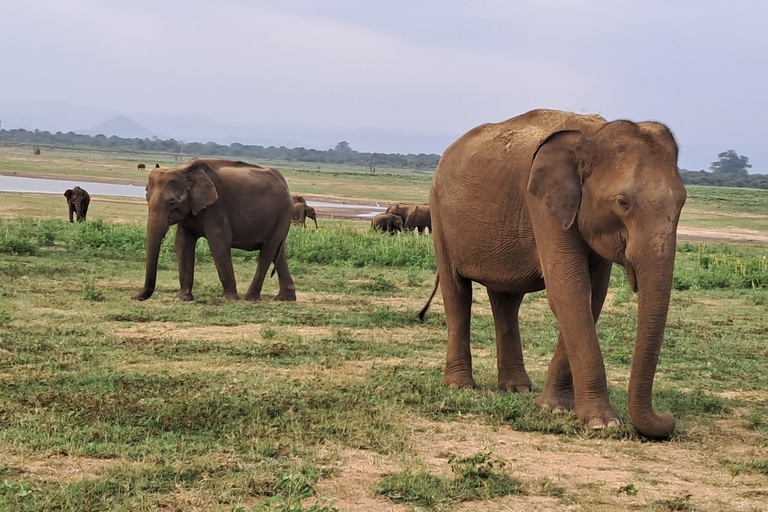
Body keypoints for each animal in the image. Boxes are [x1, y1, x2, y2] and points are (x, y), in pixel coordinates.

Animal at [134, 158, 296, 302]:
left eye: (173, 202)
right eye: (146, 198)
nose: (134, 297)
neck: (185, 170)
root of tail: (284, 181)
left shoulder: (216, 205)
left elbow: (219, 239)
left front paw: (228, 299)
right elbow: (182, 242)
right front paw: (182, 298)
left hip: (283, 214)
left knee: (268, 250)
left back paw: (250, 298)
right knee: (278, 252)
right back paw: (285, 298)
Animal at [424, 109, 688, 440]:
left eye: (683, 202)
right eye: (622, 202)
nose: (669, 419)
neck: (592, 135)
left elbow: (592, 297)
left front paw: (555, 408)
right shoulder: (543, 205)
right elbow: (570, 292)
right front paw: (602, 423)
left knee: (506, 300)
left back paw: (517, 389)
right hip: (439, 214)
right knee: (457, 292)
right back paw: (461, 387)